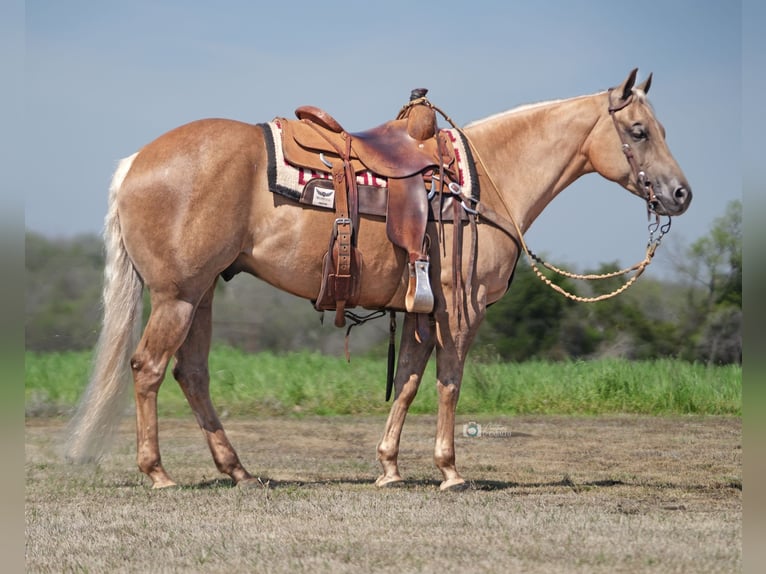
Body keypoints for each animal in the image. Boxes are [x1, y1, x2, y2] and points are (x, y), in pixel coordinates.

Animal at [66, 67, 692, 490]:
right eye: (639, 131)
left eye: (661, 127)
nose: (680, 194)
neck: (486, 181)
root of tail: (136, 162)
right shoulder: (461, 308)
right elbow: (448, 383)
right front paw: (449, 471)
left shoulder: (419, 309)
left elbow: (410, 381)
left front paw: (389, 466)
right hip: (178, 296)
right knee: (148, 369)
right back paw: (158, 473)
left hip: (200, 295)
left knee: (191, 374)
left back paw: (239, 471)